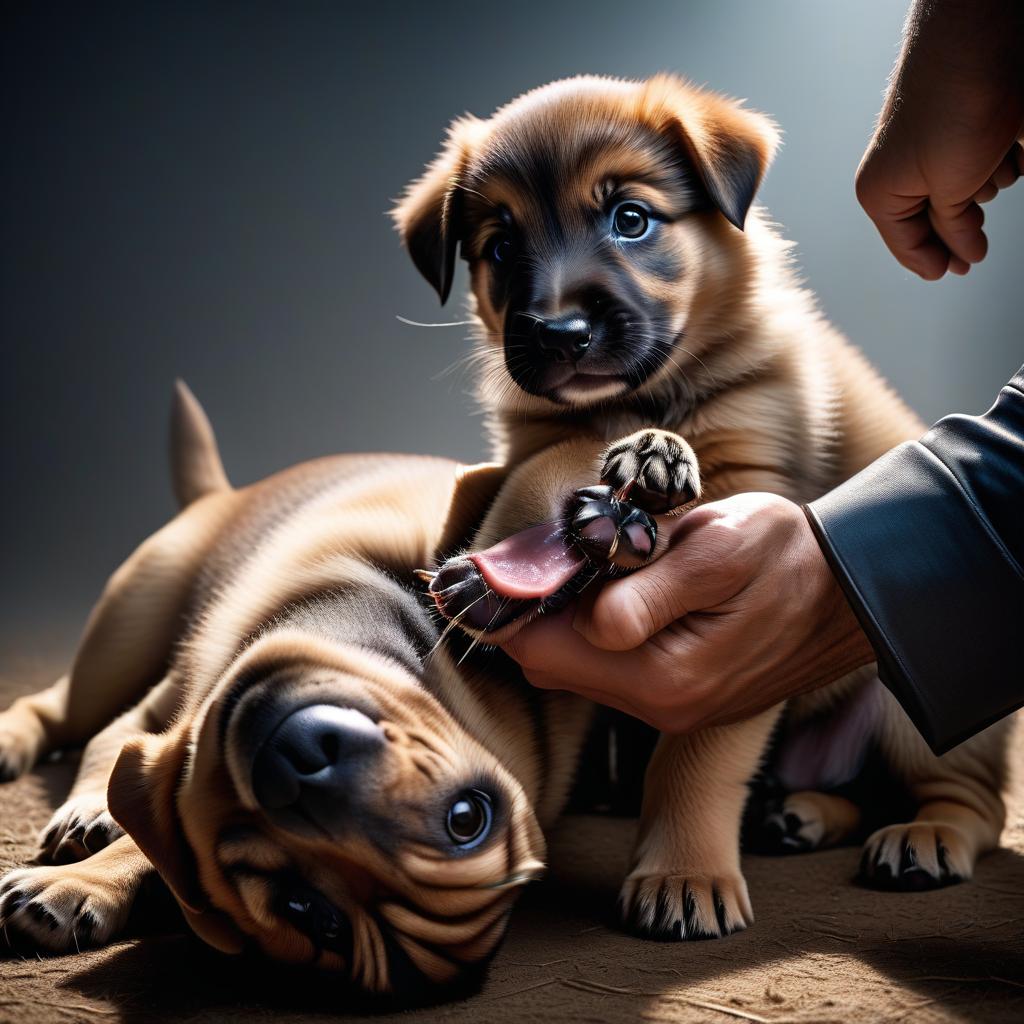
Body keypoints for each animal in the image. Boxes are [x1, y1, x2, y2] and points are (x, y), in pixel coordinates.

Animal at [391, 70, 1007, 937]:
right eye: (501, 247)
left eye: (632, 218)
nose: (558, 333)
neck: (644, 395)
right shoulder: (541, 435)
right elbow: (540, 466)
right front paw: (501, 572)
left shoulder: (748, 522)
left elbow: (697, 756)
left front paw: (684, 875)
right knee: (851, 793)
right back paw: (800, 814)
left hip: (908, 715)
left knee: (970, 797)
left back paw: (926, 836)